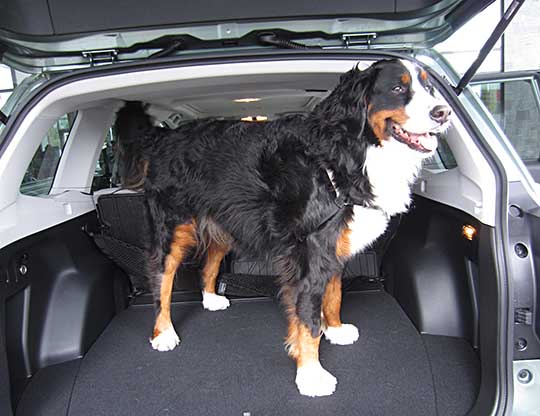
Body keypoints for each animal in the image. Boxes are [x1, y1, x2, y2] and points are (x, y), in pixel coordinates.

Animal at [114, 57, 452, 396]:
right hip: (172, 229)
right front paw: (311, 375)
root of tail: (165, 136)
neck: (347, 156)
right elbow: (308, 321)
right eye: (397, 88)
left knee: (209, 263)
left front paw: (336, 329)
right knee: (162, 278)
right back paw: (164, 332)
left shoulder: (332, 247)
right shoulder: (310, 254)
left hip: (226, 222)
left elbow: (334, 296)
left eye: (430, 88)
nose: (444, 112)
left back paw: (210, 299)